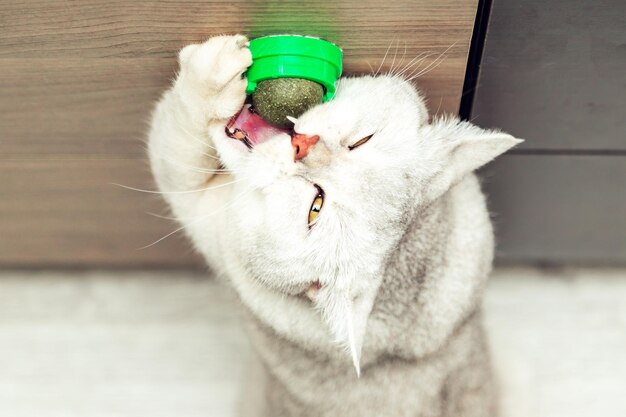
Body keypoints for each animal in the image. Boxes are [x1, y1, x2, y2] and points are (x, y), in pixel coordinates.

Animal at [149, 34, 520, 414]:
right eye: (361, 141)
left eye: (316, 207)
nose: (302, 147)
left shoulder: (203, 212)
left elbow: (177, 133)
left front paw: (212, 78)